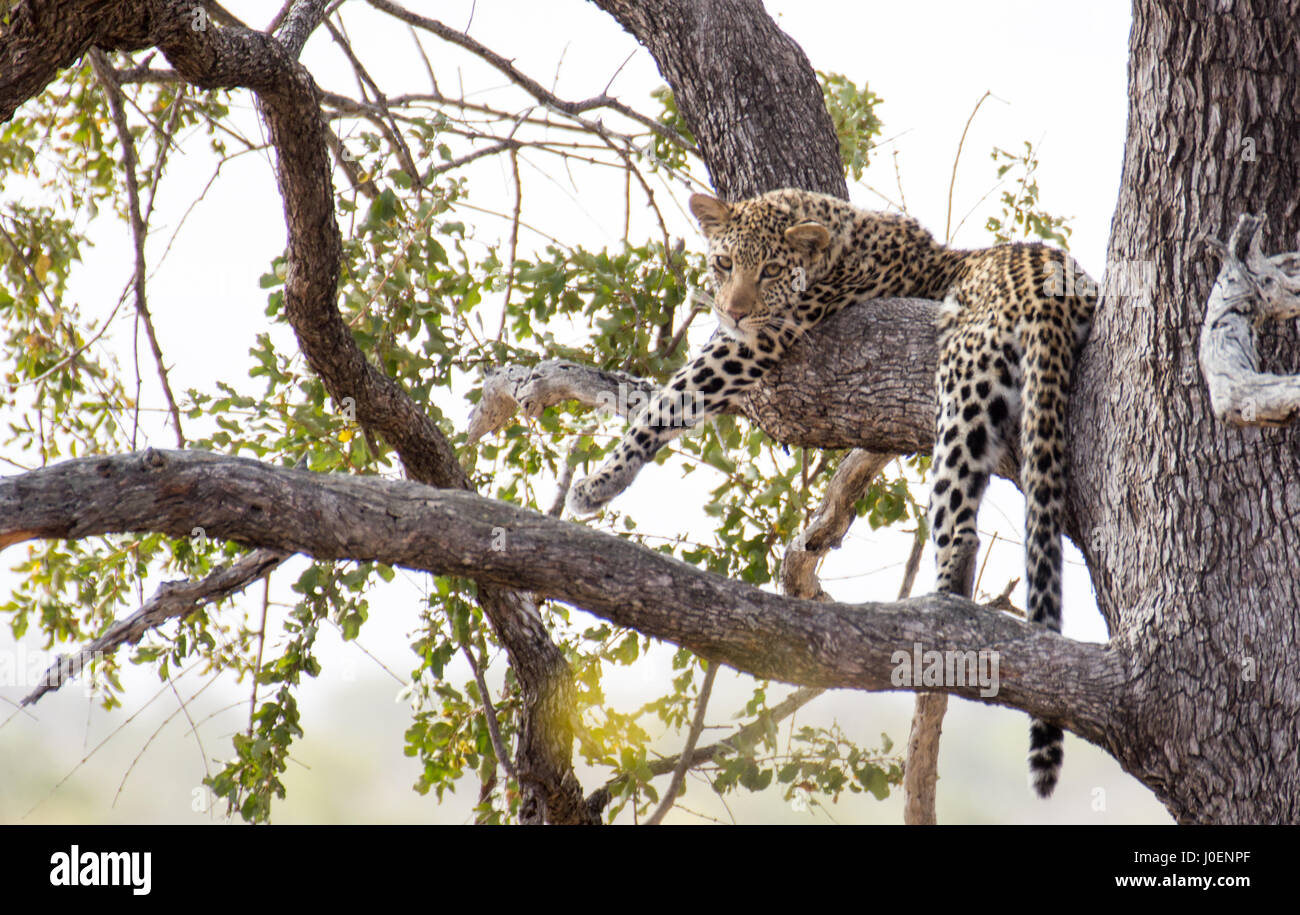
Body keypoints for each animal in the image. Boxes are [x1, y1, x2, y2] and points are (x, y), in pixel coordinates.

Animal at [566, 187, 1096, 798]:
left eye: (770, 271)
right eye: (723, 263)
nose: (733, 309)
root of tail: (1054, 286)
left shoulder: (759, 341)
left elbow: (668, 401)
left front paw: (601, 481)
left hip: (963, 387)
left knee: (959, 527)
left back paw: (938, 624)